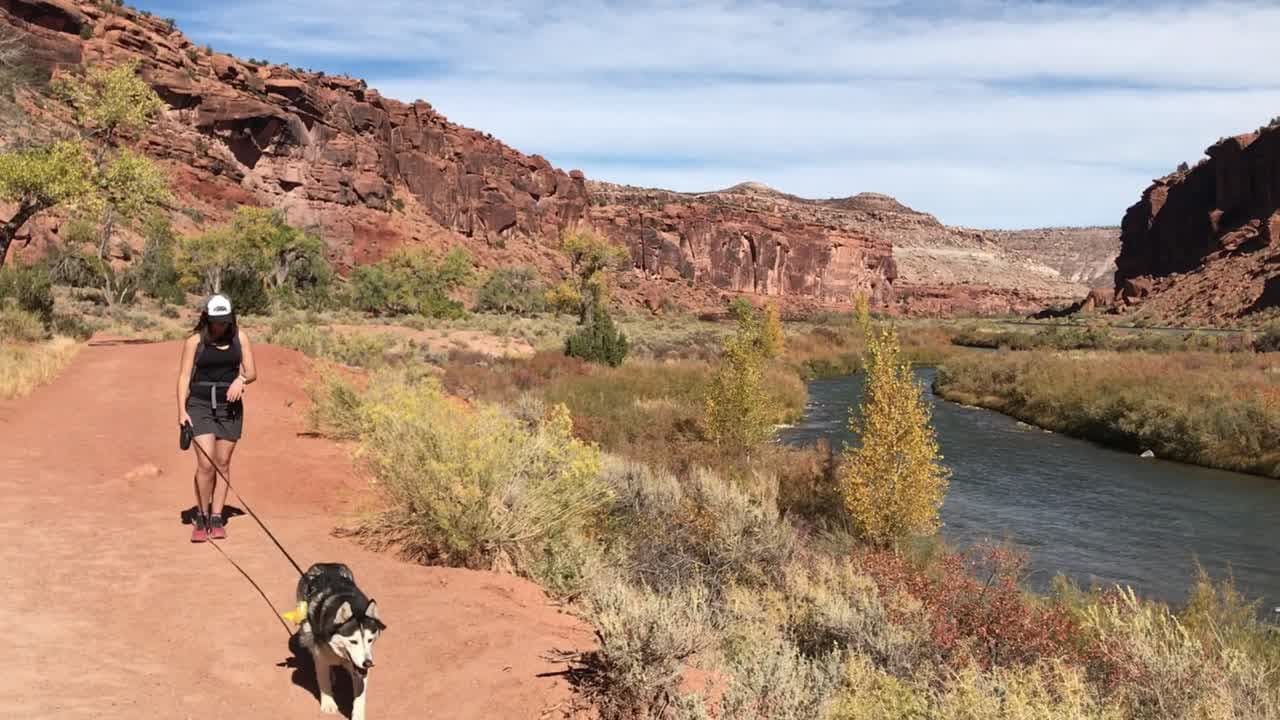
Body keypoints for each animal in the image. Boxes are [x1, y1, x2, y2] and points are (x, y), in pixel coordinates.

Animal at [294, 563, 384, 712]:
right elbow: (323, 680)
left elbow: (359, 697)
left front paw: (358, 714)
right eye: (353, 641)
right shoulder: (321, 656)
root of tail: (327, 565)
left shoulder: (359, 669)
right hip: (307, 628)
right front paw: (328, 703)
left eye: (370, 640)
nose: (368, 663)